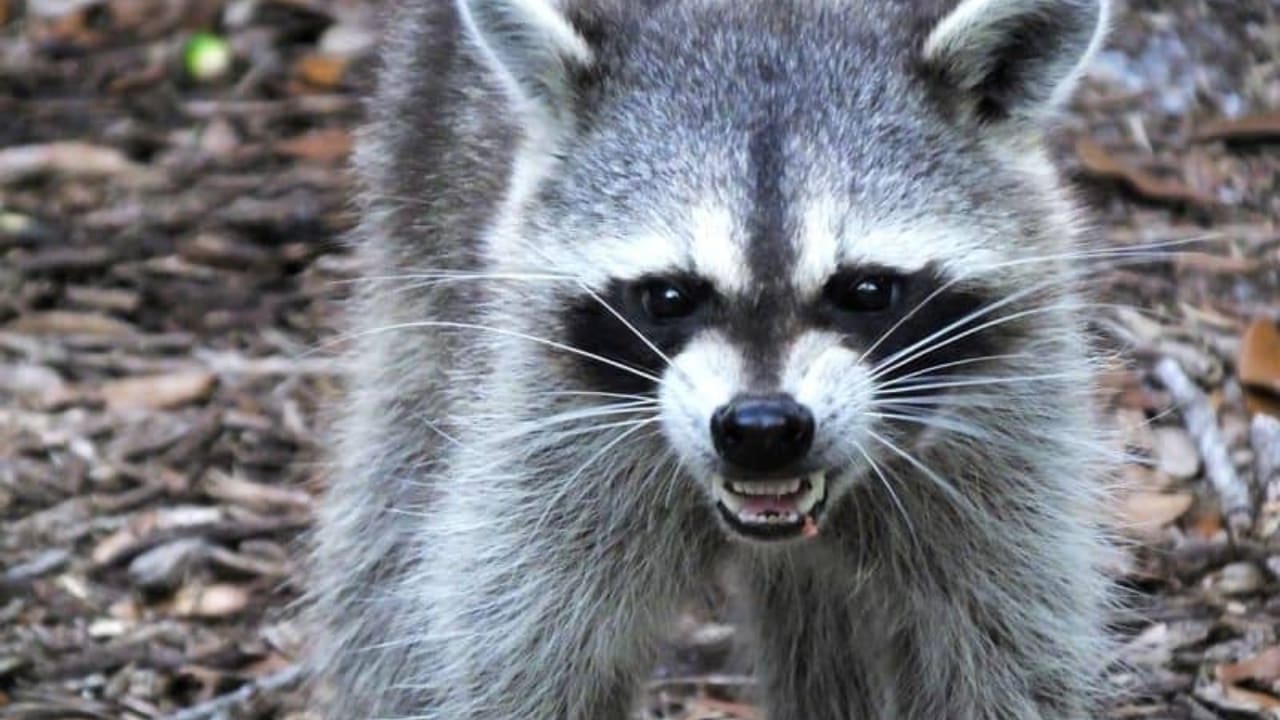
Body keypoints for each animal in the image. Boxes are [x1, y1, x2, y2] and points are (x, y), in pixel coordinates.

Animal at [308, 0, 1117, 717]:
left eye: (865, 290)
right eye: (669, 296)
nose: (761, 428)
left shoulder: (1007, 429)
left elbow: (1005, 647)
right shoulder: (544, 430)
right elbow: (511, 647)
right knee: (390, 515)